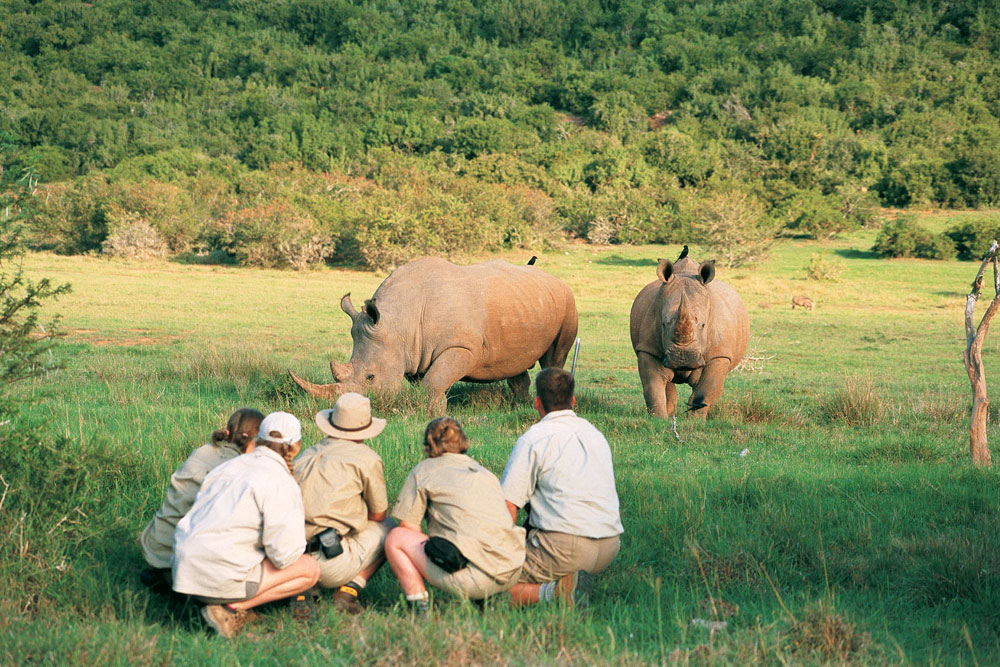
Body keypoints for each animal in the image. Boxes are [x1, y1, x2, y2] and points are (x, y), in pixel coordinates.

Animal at [290, 258, 580, 410]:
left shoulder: (461, 347)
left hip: (568, 302)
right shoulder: (416, 353)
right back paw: (516, 405)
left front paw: (432, 412)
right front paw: (435, 409)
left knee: (555, 357)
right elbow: (430, 381)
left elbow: (435, 381)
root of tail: (555, 279)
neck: (399, 322)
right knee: (513, 362)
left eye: (370, 377)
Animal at [628, 250, 748, 418]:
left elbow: (704, 391)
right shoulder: (647, 348)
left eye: (703, 325)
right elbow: (652, 387)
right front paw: (658, 419)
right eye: (663, 324)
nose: (682, 358)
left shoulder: (719, 354)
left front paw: (695, 421)